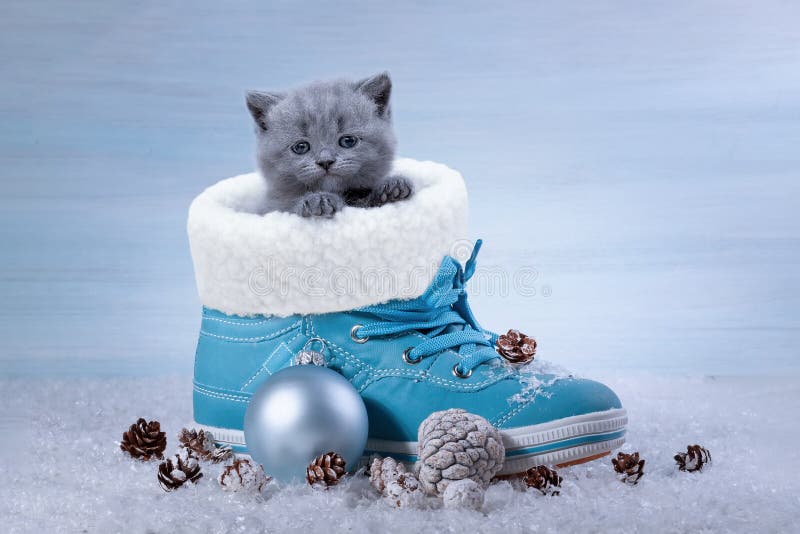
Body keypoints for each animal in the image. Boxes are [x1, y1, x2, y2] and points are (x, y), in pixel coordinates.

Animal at [247, 74, 416, 220]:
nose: (325, 161)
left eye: (348, 141)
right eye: (301, 147)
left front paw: (393, 188)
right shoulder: (274, 207)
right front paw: (319, 200)